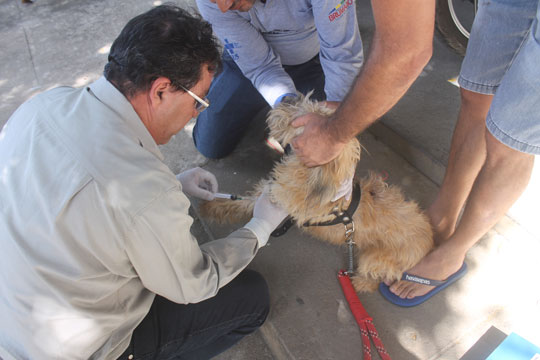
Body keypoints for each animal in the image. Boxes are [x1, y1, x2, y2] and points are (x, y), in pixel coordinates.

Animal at [200, 95, 432, 292]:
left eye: (302, 119)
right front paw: (208, 201)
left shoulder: (275, 201)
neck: (310, 176)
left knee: (380, 277)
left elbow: (243, 206)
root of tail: (429, 241)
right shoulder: (266, 191)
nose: (287, 97)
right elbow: (236, 202)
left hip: (374, 258)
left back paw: (361, 283)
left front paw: (208, 208)